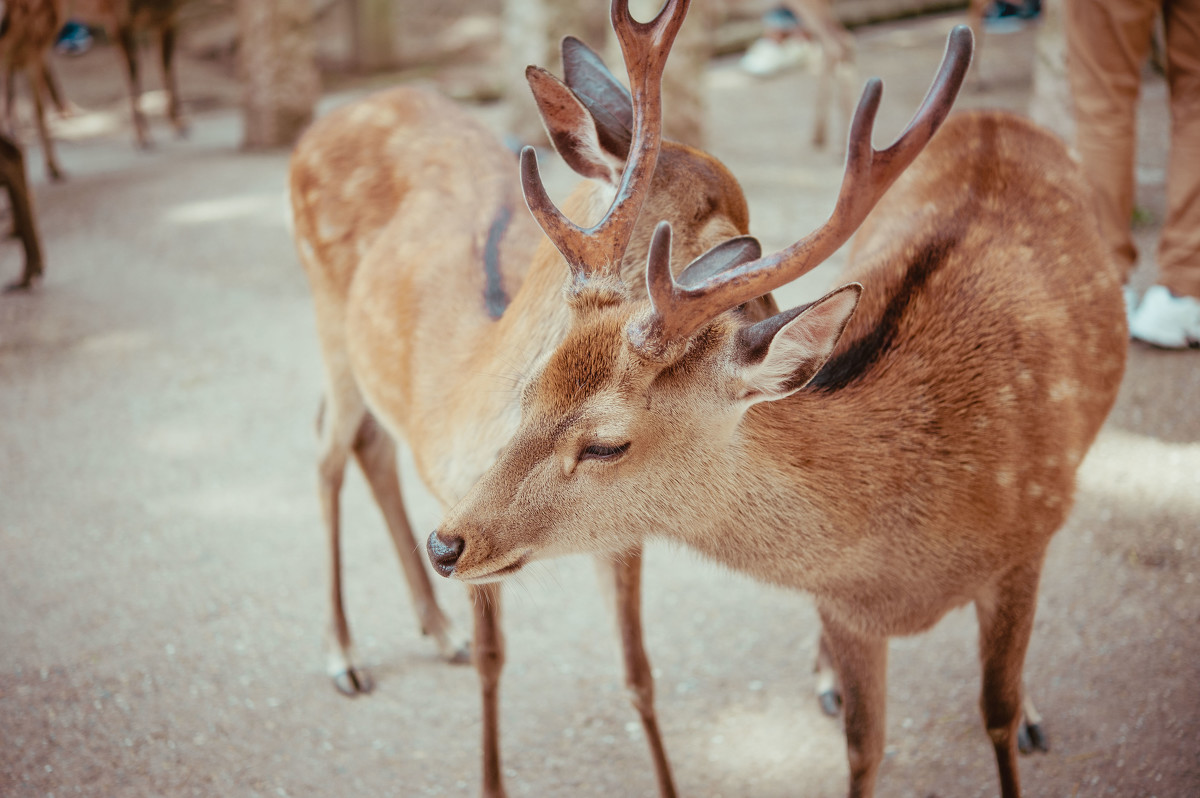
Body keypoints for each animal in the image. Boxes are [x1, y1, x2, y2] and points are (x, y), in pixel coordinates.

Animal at [288, 3, 720, 792]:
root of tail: (333, 116)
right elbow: (496, 664)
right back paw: (344, 656)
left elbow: (639, 671)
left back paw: (438, 631)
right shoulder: (458, 518)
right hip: (328, 320)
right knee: (328, 448)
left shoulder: (623, 534)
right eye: (724, 233)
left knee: (370, 445)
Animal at [410, 9, 1123, 796]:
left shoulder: (1027, 545)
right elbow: (863, 748)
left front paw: (1020, 722)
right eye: (529, 387)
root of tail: (998, 117)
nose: (445, 543)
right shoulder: (846, 610)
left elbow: (994, 714)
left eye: (605, 443)